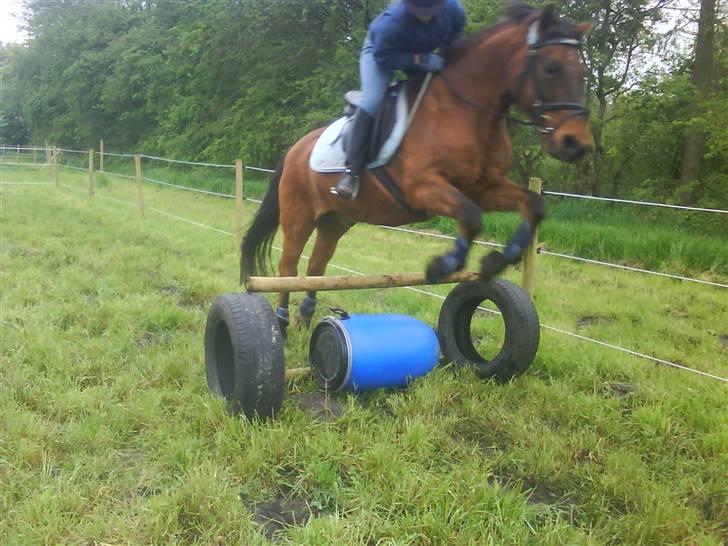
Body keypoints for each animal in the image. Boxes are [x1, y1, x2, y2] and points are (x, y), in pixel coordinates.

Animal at [242, 3, 596, 332]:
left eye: (583, 73)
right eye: (551, 68)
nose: (575, 144)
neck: (467, 112)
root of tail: (295, 149)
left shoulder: (486, 188)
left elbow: (532, 205)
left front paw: (495, 261)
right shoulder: (423, 187)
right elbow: (471, 216)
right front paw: (443, 265)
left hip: (336, 219)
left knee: (316, 266)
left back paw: (304, 316)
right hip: (298, 214)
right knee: (288, 266)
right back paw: (281, 321)